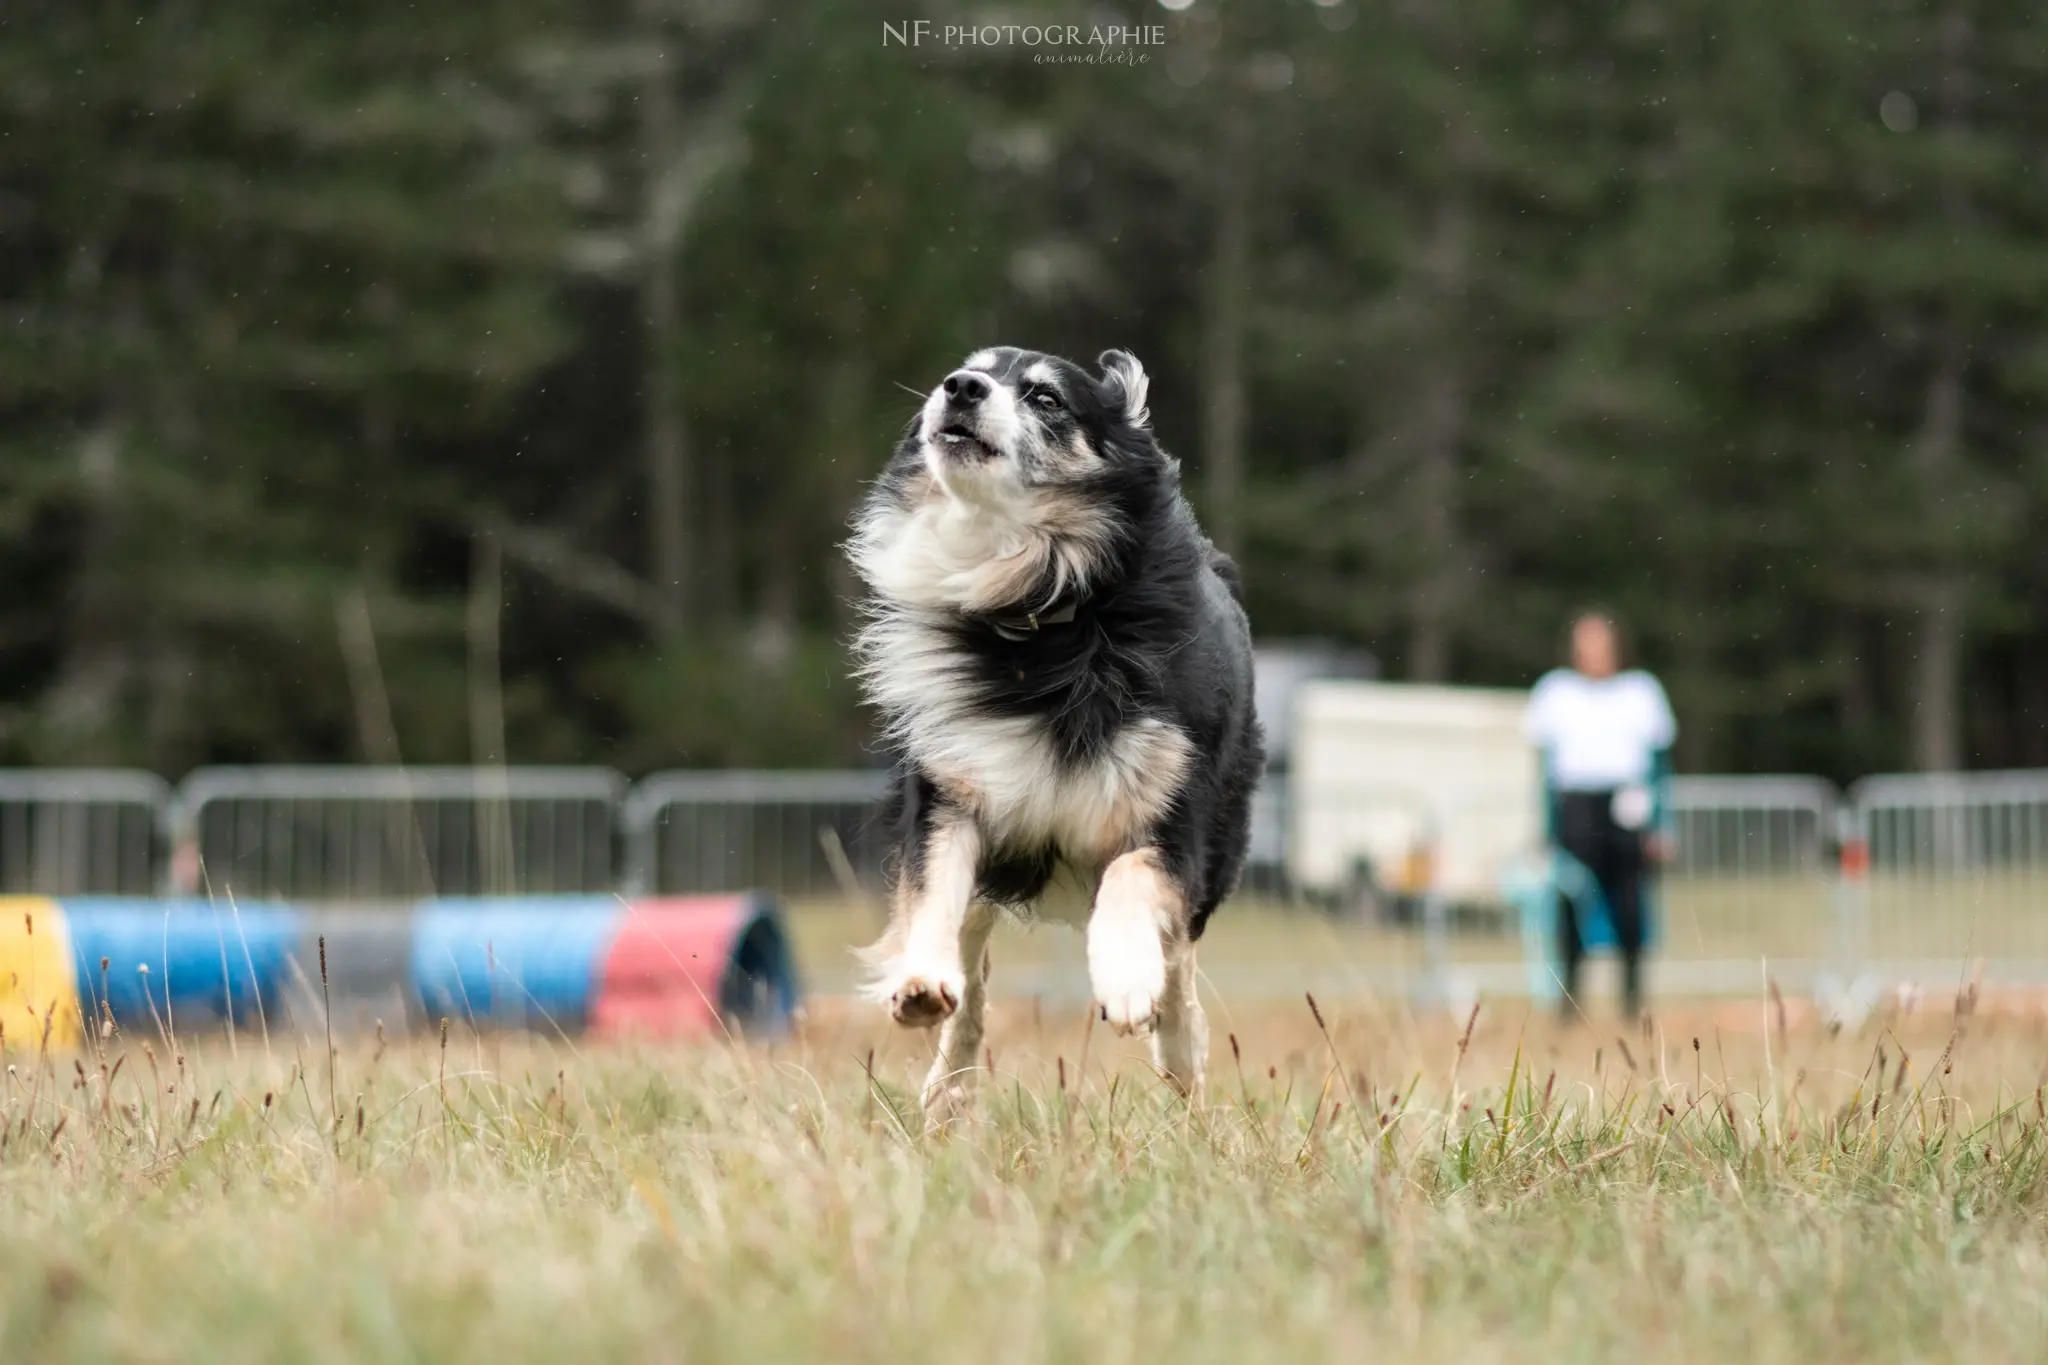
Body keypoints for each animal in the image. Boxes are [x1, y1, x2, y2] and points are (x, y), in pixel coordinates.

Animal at [847, 347, 1261, 1113]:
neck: (1041, 623)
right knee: (974, 978)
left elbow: (1133, 876)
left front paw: (1127, 981)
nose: (959, 388)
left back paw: (1177, 1043)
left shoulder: (1173, 808)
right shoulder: (952, 790)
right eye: (966, 370)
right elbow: (933, 891)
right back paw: (947, 1085)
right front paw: (918, 980)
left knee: (1181, 962)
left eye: (1045, 397)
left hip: (1219, 841)